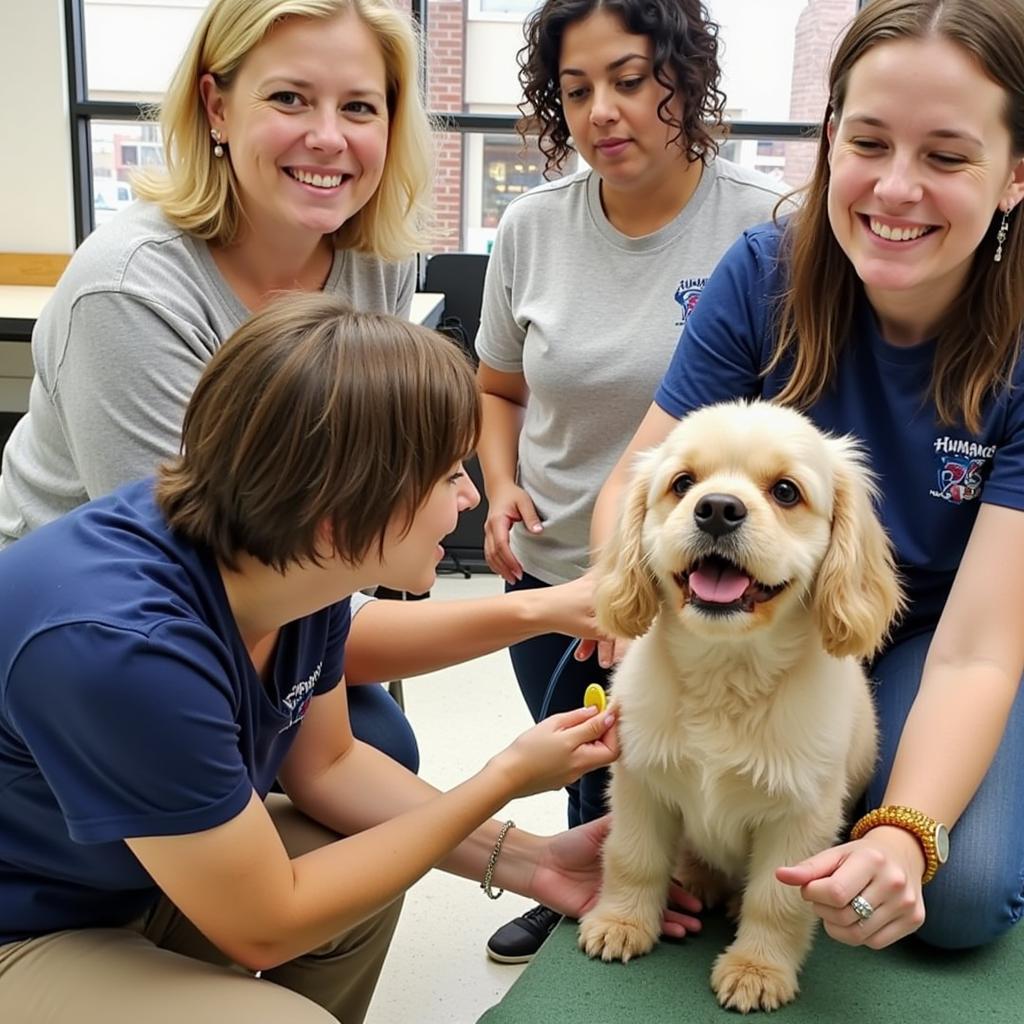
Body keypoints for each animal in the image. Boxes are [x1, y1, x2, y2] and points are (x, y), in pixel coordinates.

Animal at [581, 401, 901, 1015]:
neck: (726, 672)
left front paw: (758, 969)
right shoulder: (640, 785)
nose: (717, 509)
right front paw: (622, 922)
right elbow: (633, 858)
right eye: (683, 484)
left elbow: (774, 902)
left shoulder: (799, 822)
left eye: (785, 492)